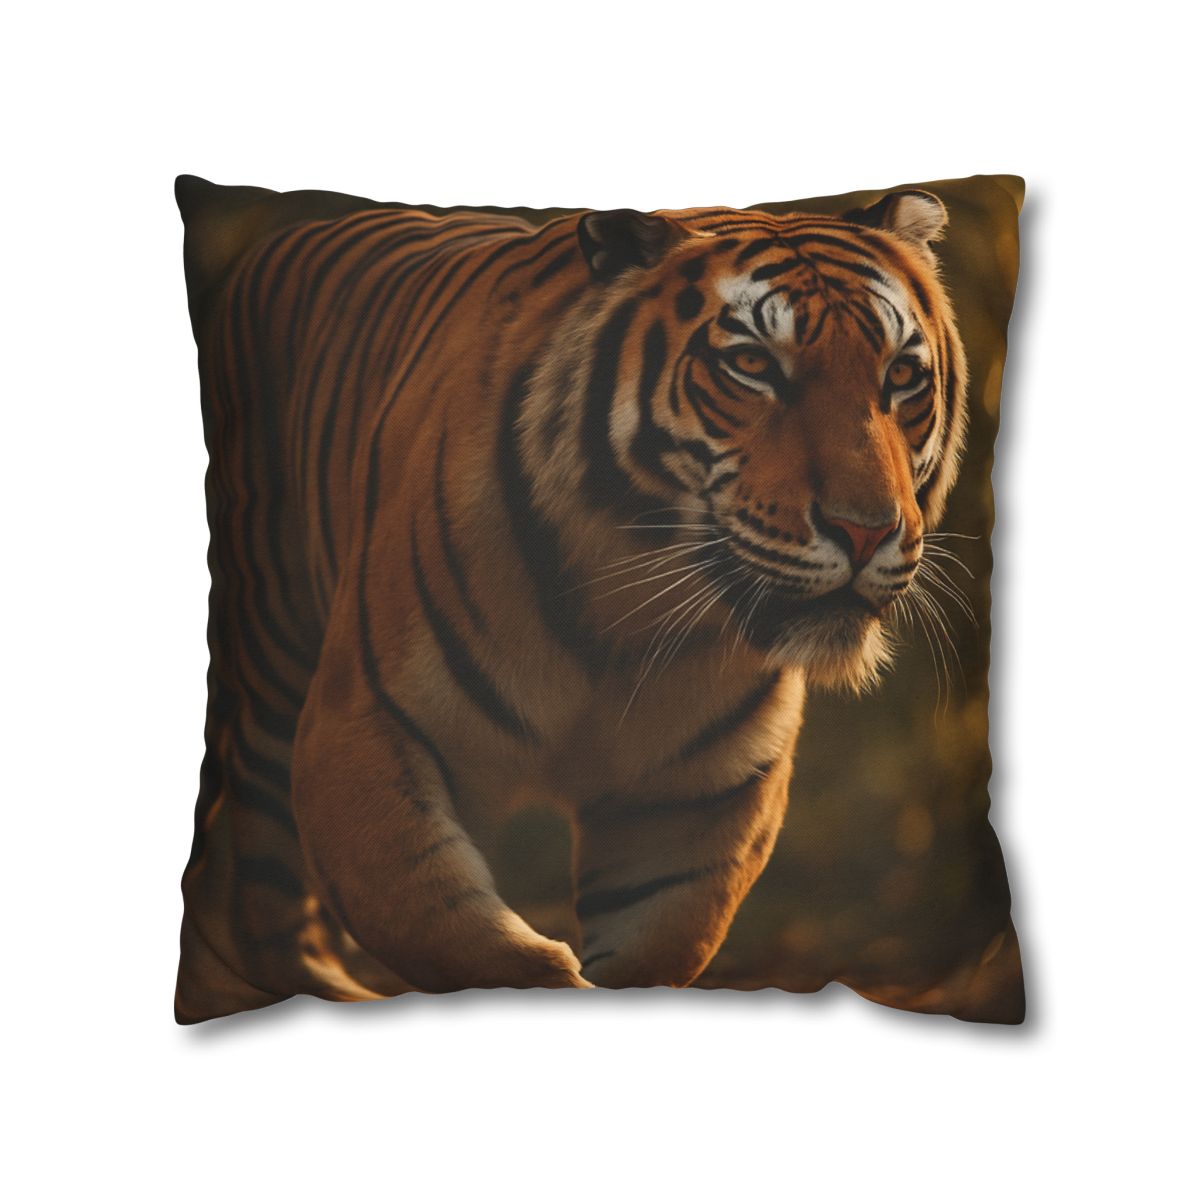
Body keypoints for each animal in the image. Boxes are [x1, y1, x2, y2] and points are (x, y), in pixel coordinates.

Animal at [174, 176, 966, 1021]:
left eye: (901, 377)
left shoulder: (695, 799)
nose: (866, 530)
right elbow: (452, 932)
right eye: (752, 364)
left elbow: (654, 945)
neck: (626, 617)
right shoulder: (360, 730)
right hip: (271, 682)